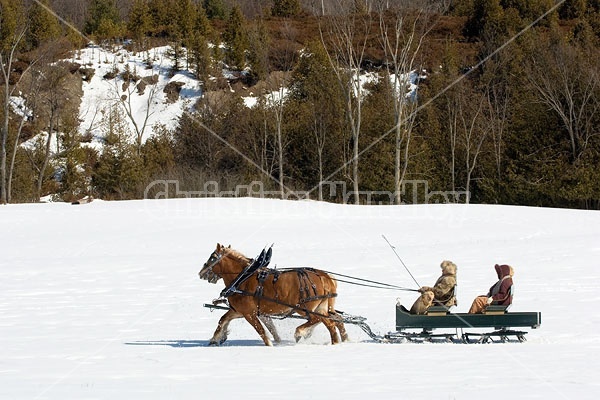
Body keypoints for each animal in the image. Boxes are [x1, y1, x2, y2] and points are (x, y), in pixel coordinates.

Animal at [198, 242, 346, 346]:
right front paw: (215, 339)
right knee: (333, 322)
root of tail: (325, 277)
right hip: (322, 307)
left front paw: (269, 345)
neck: (243, 278)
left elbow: (261, 331)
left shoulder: (249, 313)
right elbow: (223, 320)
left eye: (212, 258)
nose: (201, 273)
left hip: (305, 309)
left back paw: (300, 333)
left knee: (319, 320)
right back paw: (338, 341)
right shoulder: (241, 311)